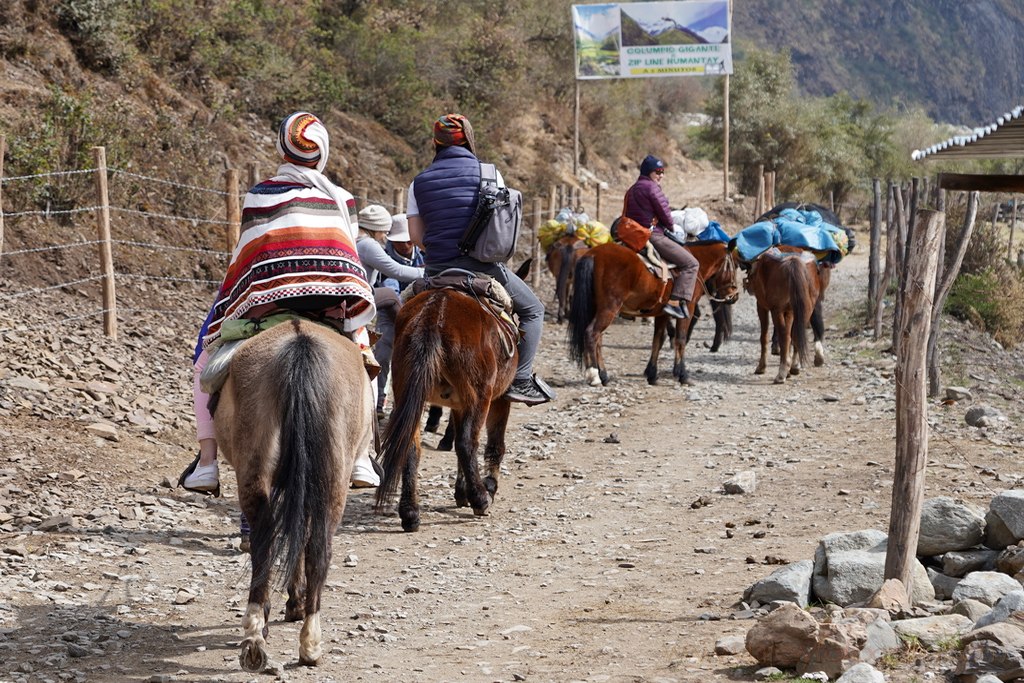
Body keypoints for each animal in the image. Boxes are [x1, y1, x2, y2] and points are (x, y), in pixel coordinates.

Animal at [214, 321, 374, 671]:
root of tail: (300, 346)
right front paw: (294, 602)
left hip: (258, 471)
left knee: (268, 544)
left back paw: (259, 635)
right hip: (331, 481)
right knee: (314, 549)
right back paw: (304, 640)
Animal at [374, 286, 520, 532]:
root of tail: (434, 313)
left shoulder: (458, 404)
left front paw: (461, 492)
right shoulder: (499, 397)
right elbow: (494, 443)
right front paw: (487, 487)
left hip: (409, 394)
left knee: (411, 447)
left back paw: (410, 513)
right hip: (480, 397)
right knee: (466, 443)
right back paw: (480, 499)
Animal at [565, 241, 741, 387]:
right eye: (734, 265)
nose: (734, 296)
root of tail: (593, 254)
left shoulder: (662, 314)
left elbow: (658, 340)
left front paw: (652, 374)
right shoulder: (688, 309)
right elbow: (681, 339)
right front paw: (682, 375)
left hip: (597, 308)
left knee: (597, 339)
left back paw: (604, 375)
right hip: (609, 308)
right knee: (591, 333)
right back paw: (594, 376)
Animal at [737, 245, 823, 385]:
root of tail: (793, 261)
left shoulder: (762, 306)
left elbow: (764, 336)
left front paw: (761, 367)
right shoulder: (790, 311)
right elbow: (792, 335)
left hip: (776, 310)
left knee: (784, 336)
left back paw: (781, 373)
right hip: (806, 308)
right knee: (796, 334)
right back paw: (793, 367)